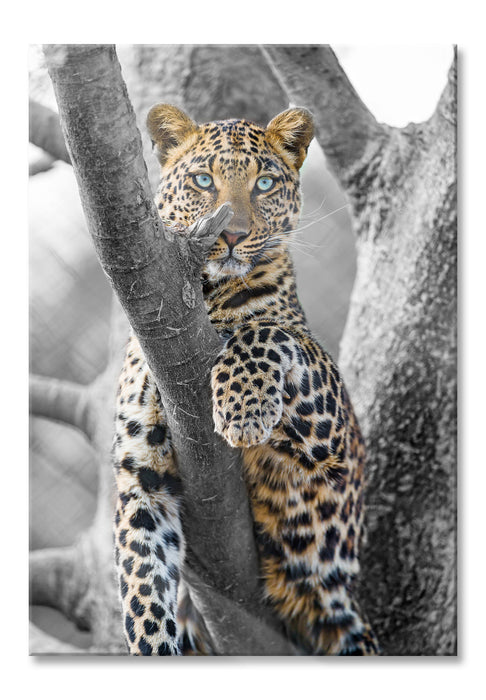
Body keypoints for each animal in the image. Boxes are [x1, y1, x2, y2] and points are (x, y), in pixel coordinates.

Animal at [113, 103, 379, 656]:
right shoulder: (140, 478)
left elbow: (266, 330)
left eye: (264, 184)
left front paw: (243, 411)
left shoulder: (333, 444)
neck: (205, 299)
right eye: (202, 180)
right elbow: (142, 586)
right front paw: (153, 645)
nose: (231, 234)